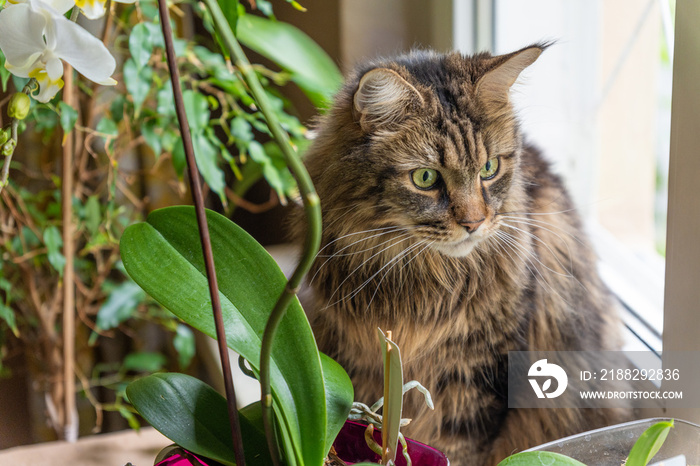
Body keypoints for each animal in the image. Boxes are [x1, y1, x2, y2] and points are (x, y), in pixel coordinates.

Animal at [296, 44, 628, 466]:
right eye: (425, 178)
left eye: (489, 168)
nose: (474, 223)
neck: (422, 281)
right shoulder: (358, 358)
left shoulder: (481, 372)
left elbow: (460, 446)